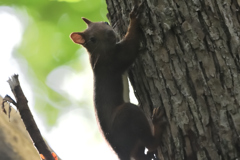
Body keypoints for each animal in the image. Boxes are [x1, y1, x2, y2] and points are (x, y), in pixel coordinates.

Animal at [70, 3, 166, 160]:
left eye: (105, 23)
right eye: (92, 39)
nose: (110, 33)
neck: (98, 53)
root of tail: (120, 151)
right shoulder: (114, 60)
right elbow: (131, 46)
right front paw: (133, 19)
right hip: (126, 117)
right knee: (150, 142)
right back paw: (157, 125)